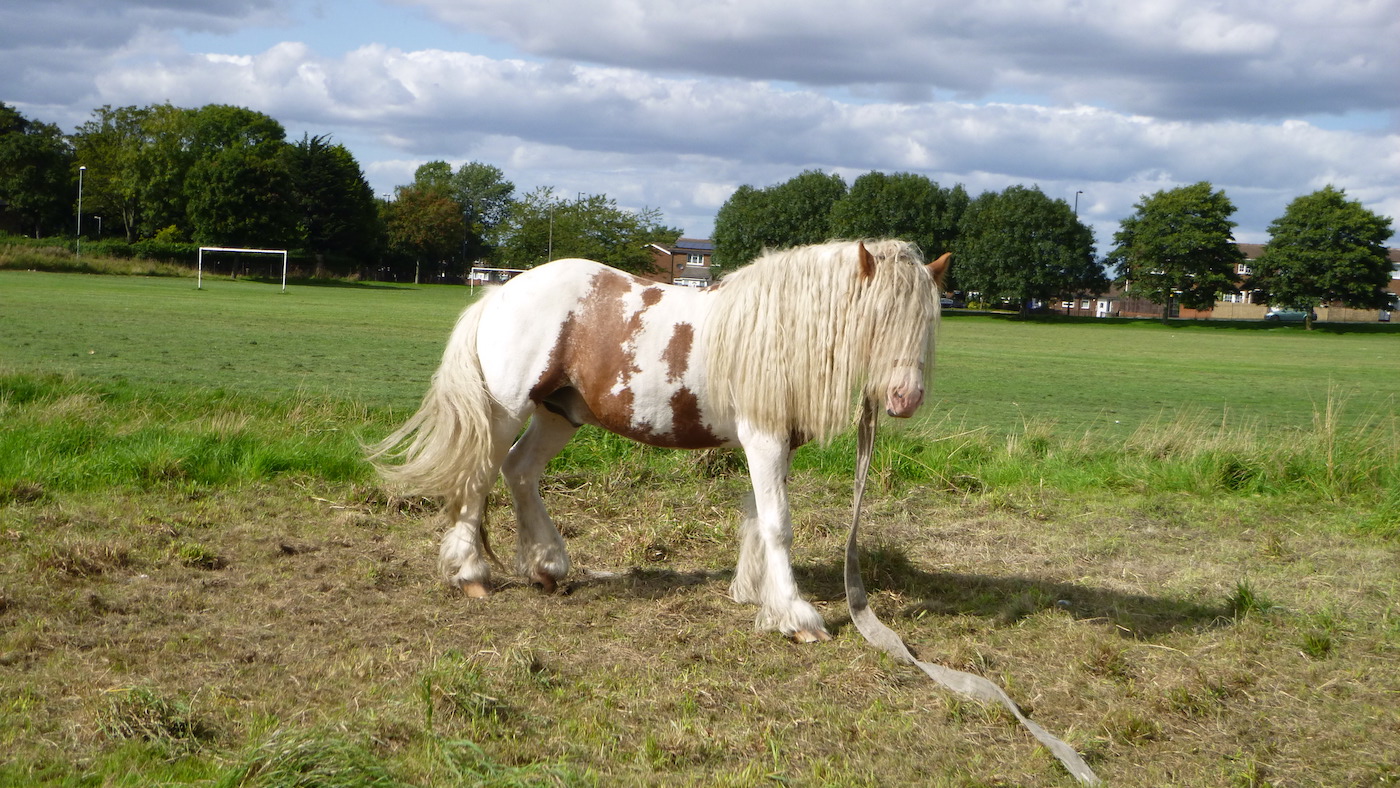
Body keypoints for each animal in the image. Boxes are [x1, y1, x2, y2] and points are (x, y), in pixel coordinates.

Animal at [370, 239, 949, 642]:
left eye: (929, 320)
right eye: (878, 318)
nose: (906, 398)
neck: (779, 330)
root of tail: (498, 294)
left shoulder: (774, 445)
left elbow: (757, 518)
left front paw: (752, 594)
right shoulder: (763, 439)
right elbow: (779, 525)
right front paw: (795, 615)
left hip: (559, 415)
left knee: (520, 472)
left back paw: (547, 567)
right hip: (504, 411)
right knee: (479, 478)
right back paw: (471, 574)